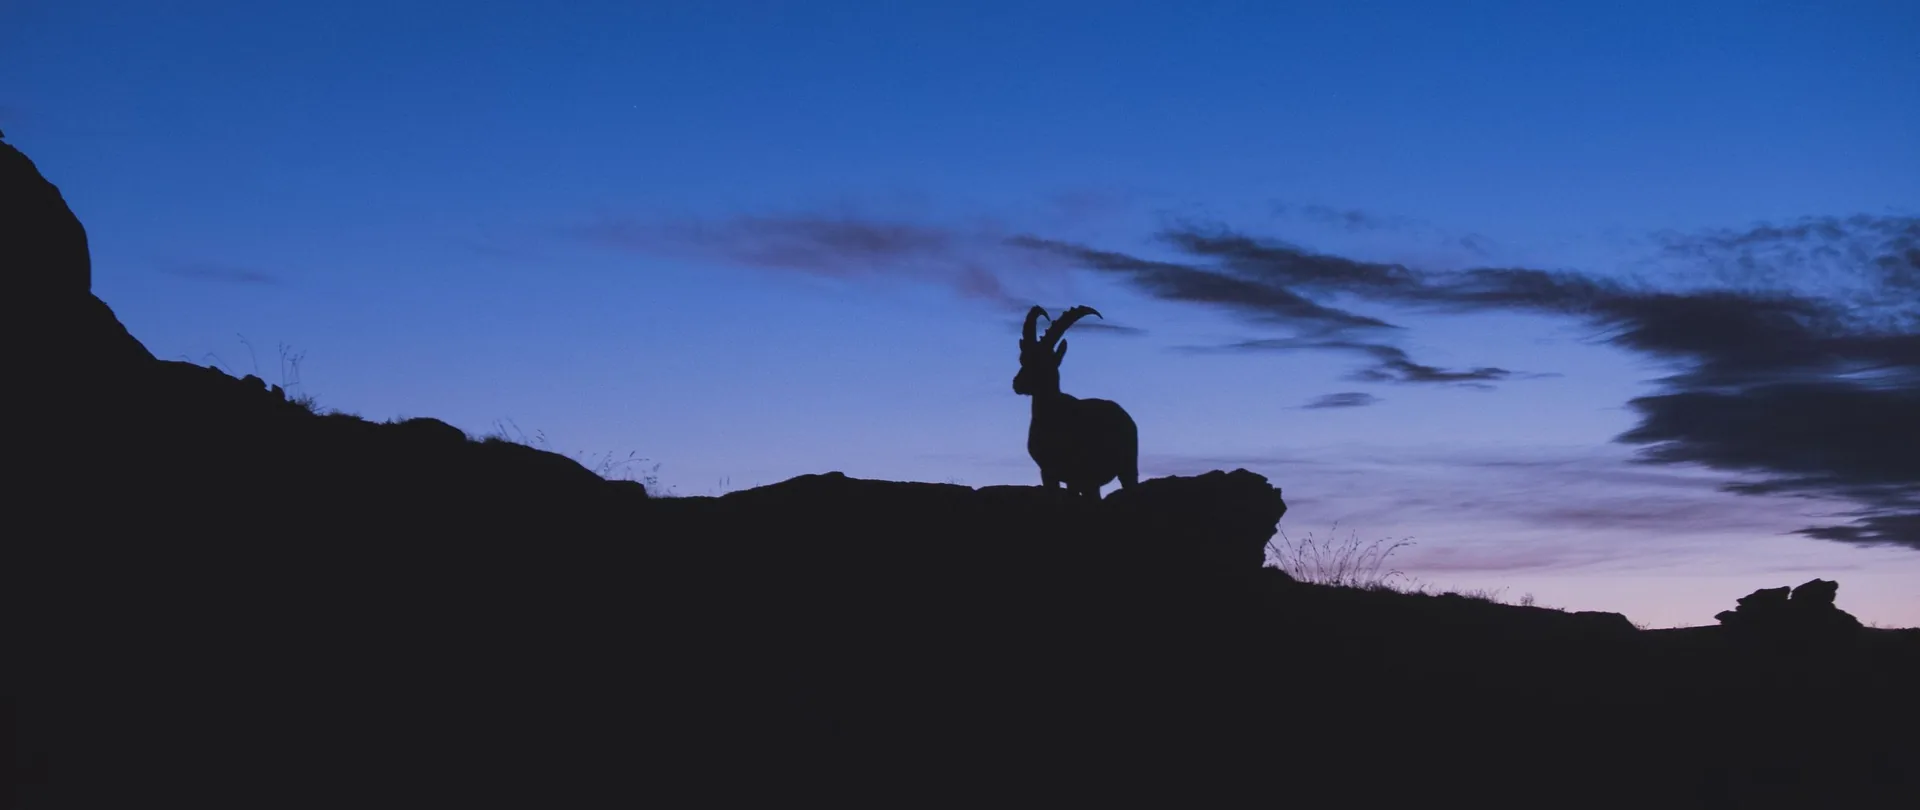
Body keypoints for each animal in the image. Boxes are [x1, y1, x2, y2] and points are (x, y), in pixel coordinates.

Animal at [1013, 305, 1139, 499]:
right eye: (1022, 359)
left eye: (1044, 363)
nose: (1017, 383)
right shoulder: (1048, 472)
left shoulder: (1078, 475)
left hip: (1125, 468)